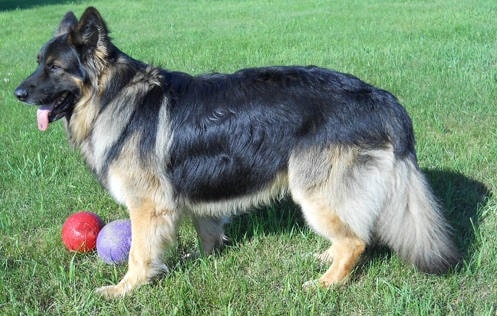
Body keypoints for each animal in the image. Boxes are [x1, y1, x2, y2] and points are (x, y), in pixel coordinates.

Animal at [14, 7, 458, 298]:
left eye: (54, 68)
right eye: (38, 63)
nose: (17, 93)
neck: (113, 97)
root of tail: (382, 99)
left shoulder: (147, 207)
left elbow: (138, 253)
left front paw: (124, 290)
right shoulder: (191, 197)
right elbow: (207, 229)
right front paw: (208, 257)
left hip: (314, 192)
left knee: (356, 241)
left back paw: (326, 284)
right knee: (352, 232)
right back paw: (325, 258)